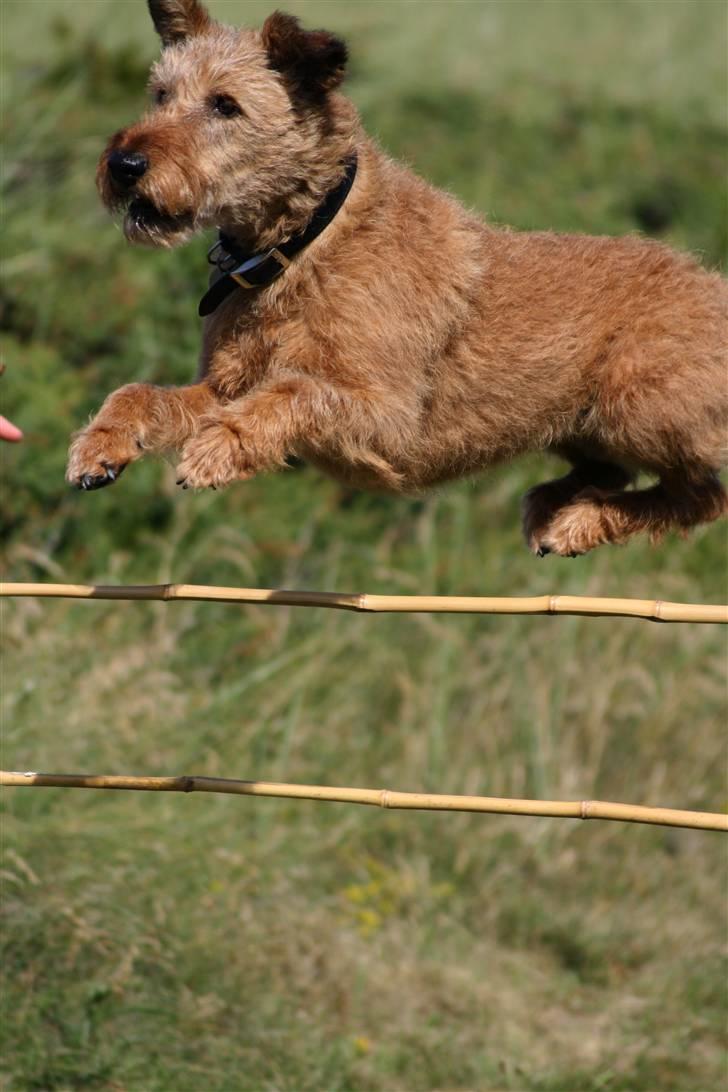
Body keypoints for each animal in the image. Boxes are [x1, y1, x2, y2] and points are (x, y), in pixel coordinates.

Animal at [65, 0, 724, 559]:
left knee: (702, 493)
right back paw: (556, 506)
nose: (124, 164)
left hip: (635, 402)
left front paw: (220, 447)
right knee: (619, 473)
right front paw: (101, 445)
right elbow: (142, 394)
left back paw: (580, 520)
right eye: (159, 94)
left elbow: (297, 391)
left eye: (226, 105)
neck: (304, 244)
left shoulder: (388, 417)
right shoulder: (224, 386)